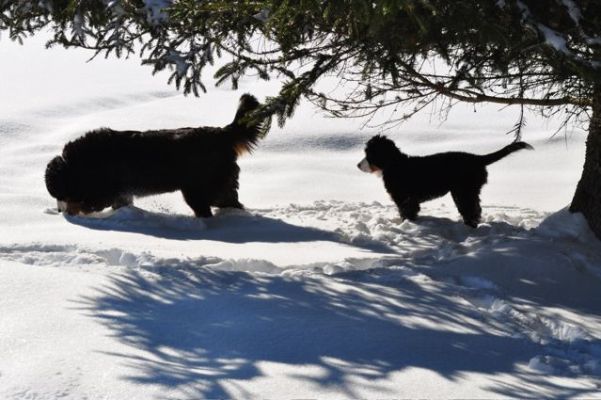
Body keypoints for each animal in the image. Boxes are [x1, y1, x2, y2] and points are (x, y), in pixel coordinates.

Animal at [47, 94, 270, 217]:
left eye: (59, 194)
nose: (58, 211)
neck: (79, 165)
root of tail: (222, 133)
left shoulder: (104, 191)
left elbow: (87, 205)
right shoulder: (120, 193)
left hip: (201, 189)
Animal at [356, 135, 528, 227]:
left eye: (369, 154)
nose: (357, 165)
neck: (393, 164)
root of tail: (476, 158)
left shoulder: (405, 198)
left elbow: (407, 212)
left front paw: (406, 225)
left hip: (463, 191)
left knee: (471, 209)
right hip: (467, 191)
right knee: (476, 208)